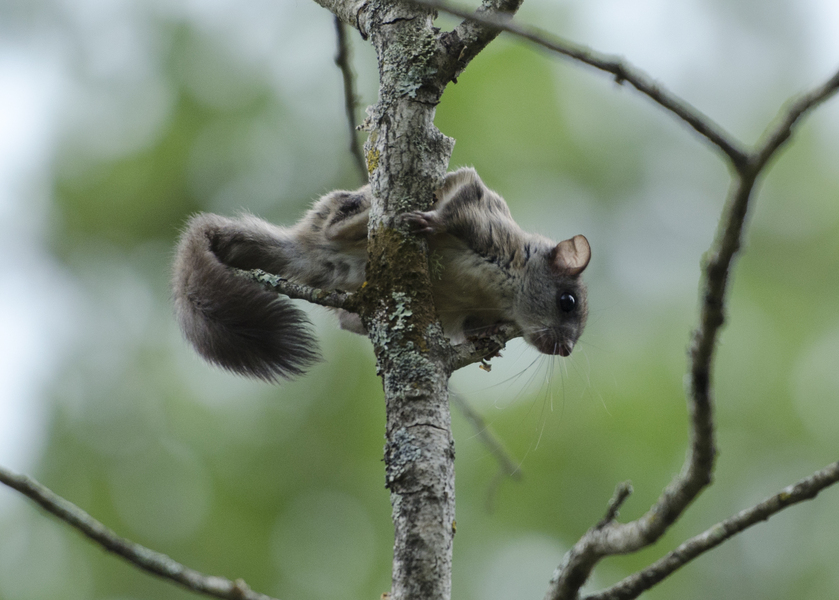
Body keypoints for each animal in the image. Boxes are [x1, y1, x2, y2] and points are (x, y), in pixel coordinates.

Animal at [172, 166, 592, 382]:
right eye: (567, 301)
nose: (567, 350)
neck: (504, 292)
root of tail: (305, 249)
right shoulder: (486, 221)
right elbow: (461, 194)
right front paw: (433, 221)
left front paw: (487, 341)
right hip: (343, 211)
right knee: (336, 227)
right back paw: (361, 220)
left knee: (348, 319)